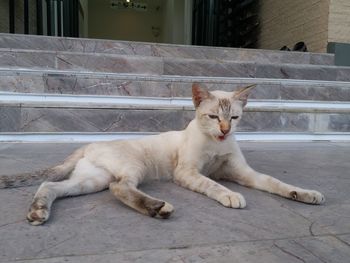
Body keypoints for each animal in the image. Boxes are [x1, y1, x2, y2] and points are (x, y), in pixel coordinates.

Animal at [11, 82, 322, 225]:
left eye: (233, 118)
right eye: (212, 117)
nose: (224, 131)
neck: (217, 144)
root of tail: (89, 144)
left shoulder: (242, 172)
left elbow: (274, 182)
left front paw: (305, 194)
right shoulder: (187, 172)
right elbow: (213, 184)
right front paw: (231, 196)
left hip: (92, 180)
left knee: (50, 185)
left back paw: (37, 211)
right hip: (132, 167)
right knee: (119, 187)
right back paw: (159, 208)